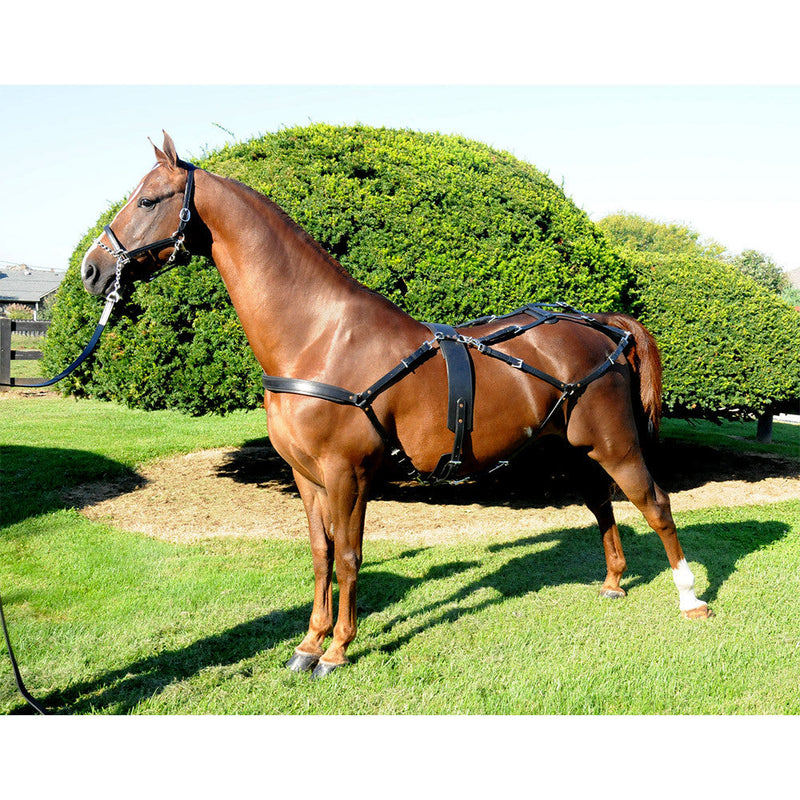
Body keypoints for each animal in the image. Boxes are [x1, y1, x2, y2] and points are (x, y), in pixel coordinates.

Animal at [79, 134, 708, 680]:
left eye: (150, 199)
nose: (92, 269)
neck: (319, 336)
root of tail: (599, 325)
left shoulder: (348, 472)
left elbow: (350, 556)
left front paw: (336, 650)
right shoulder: (306, 476)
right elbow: (320, 555)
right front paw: (308, 643)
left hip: (617, 444)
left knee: (655, 504)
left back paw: (690, 598)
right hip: (575, 449)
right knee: (602, 505)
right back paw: (614, 582)